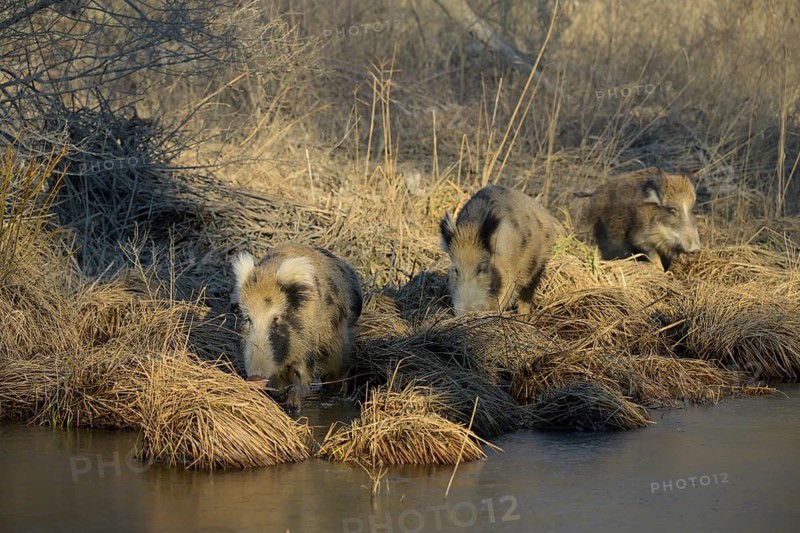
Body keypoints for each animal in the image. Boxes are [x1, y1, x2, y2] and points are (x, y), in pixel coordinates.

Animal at [232, 243, 363, 413]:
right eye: (248, 319)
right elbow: (278, 384)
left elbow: (300, 374)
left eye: (276, 318)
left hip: (340, 339)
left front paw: (294, 408)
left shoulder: (308, 343)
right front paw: (278, 400)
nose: (255, 379)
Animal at [439, 184, 558, 315]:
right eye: (455, 269)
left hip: (540, 262)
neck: (471, 230)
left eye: (481, 269)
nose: (467, 312)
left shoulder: (510, 276)